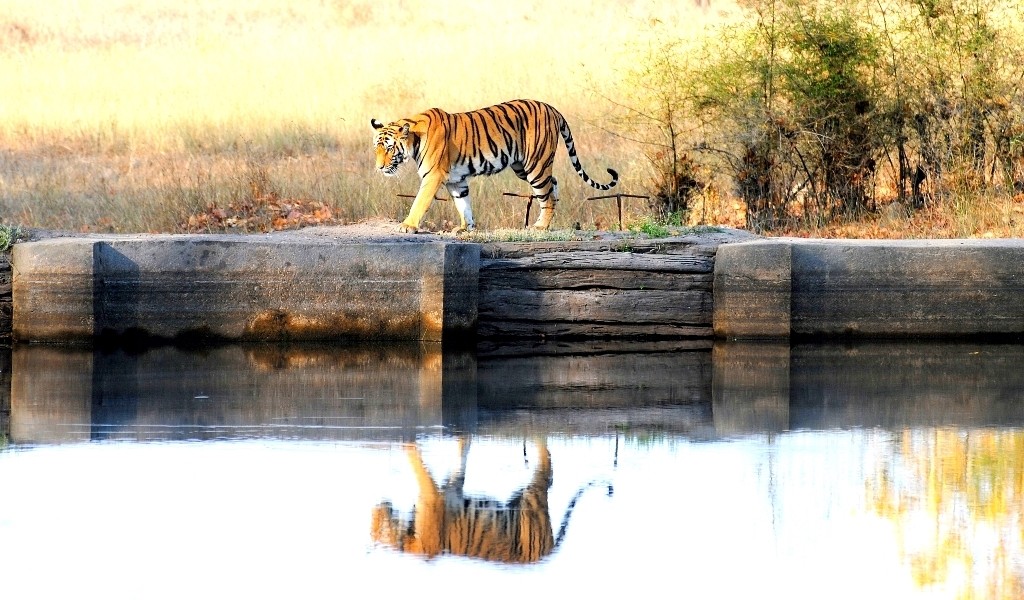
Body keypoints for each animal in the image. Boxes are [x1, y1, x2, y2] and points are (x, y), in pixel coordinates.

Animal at [370, 434, 606, 561]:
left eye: (375, 526)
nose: (376, 507)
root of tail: (547, 552)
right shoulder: (450, 489)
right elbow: (461, 460)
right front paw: (464, 437)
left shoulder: (431, 496)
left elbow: (417, 463)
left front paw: (405, 440)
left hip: (532, 498)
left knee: (547, 465)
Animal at [372, 98, 618, 231]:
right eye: (377, 148)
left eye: (390, 148)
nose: (379, 168)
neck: (413, 138)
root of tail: (552, 108)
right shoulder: (456, 180)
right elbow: (463, 205)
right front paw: (465, 229)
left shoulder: (433, 176)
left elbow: (419, 202)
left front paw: (408, 225)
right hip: (523, 166)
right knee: (553, 185)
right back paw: (545, 223)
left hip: (535, 165)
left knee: (546, 194)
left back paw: (540, 226)